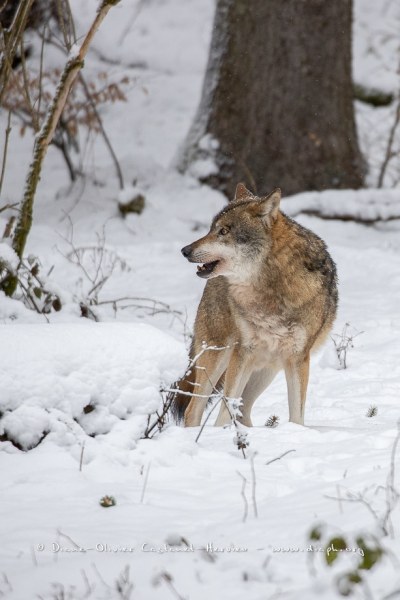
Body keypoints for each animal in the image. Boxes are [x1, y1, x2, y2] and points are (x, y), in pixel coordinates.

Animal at [172, 183, 338, 426]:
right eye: (212, 229)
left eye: (224, 231)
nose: (185, 251)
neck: (272, 291)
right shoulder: (243, 351)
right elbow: (224, 412)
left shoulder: (298, 358)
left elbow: (297, 417)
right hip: (220, 357)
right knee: (193, 410)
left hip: (267, 368)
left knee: (244, 409)